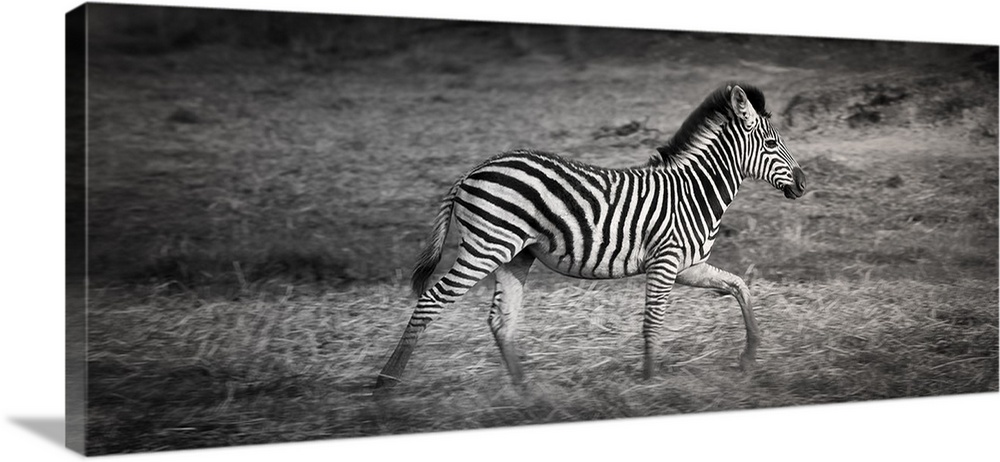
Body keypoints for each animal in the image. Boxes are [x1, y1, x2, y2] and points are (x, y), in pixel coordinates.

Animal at [374, 84, 804, 390]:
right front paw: (650, 382)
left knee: (501, 319)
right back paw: (386, 383)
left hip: (514, 255)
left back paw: (525, 390)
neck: (693, 193)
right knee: (432, 300)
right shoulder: (665, 263)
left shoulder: (689, 266)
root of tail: (471, 173)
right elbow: (652, 321)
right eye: (771, 144)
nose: (803, 183)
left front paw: (749, 357)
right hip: (486, 248)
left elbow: (739, 286)